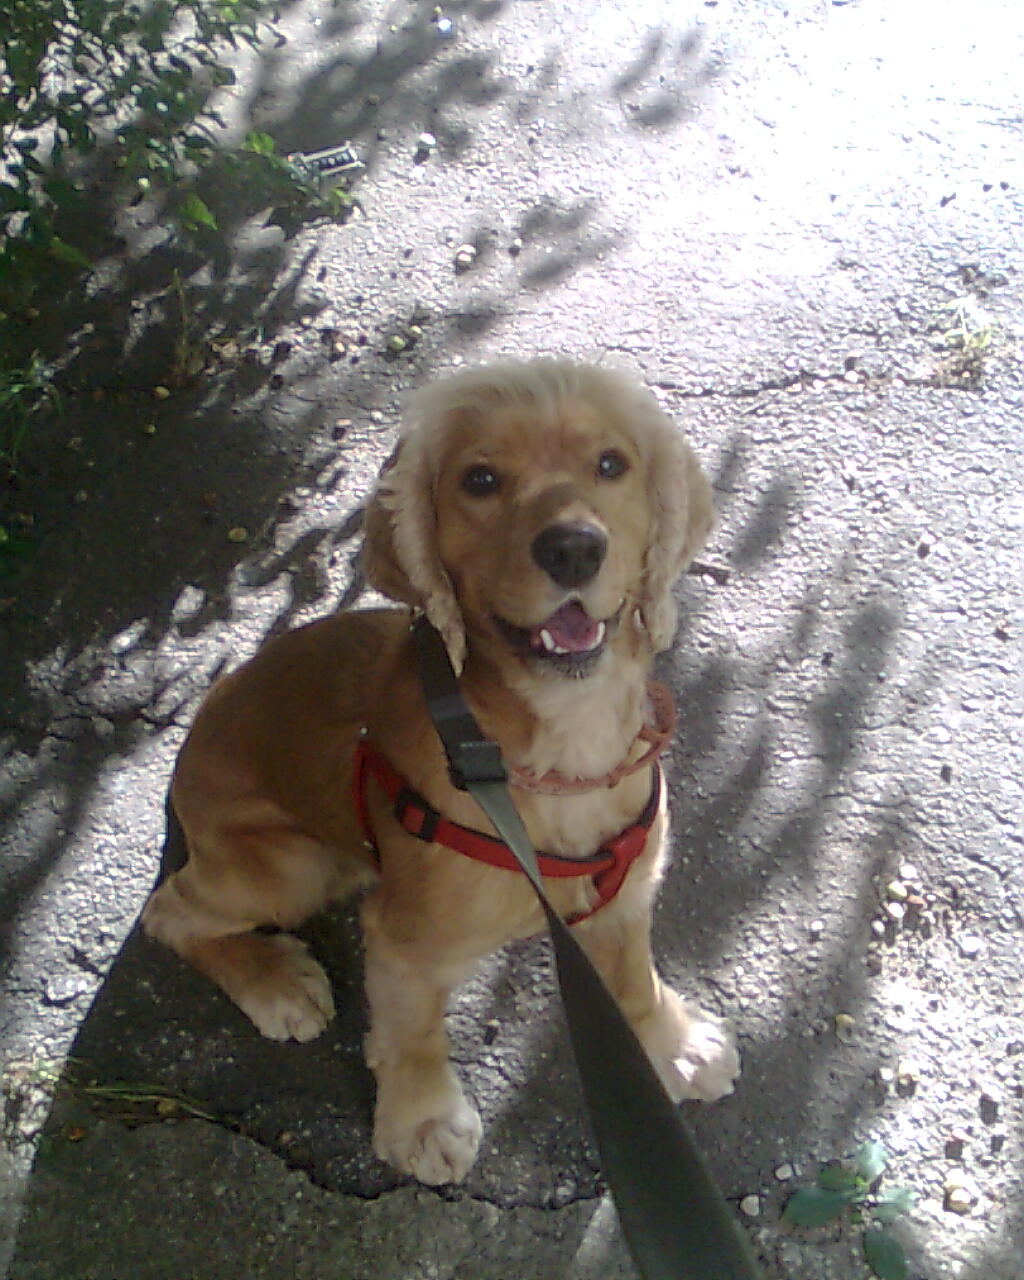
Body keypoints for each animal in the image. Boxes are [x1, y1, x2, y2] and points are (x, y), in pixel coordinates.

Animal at [143, 356, 740, 1186]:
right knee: (168, 911)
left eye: (611, 465)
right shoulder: (406, 942)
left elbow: (631, 976)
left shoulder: (627, 888)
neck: (550, 751)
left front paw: (671, 1043)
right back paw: (274, 979)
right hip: (288, 863)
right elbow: (415, 1033)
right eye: (480, 480)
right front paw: (422, 1122)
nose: (574, 548)